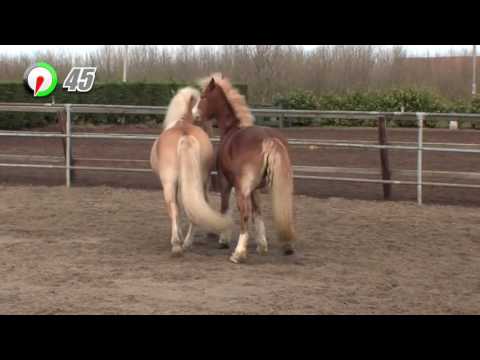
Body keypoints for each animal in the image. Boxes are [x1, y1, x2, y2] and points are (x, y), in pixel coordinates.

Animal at [150, 86, 232, 256]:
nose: (211, 131)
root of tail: (185, 134)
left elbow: (176, 208)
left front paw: (178, 237)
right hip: (200, 181)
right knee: (195, 208)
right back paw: (188, 242)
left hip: (168, 183)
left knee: (173, 207)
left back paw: (177, 244)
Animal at [192, 74, 296, 264]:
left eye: (203, 96)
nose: (194, 115)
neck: (231, 130)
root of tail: (269, 139)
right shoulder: (255, 189)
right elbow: (258, 211)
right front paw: (262, 245)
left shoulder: (226, 183)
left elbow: (226, 208)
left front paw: (223, 239)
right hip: (278, 185)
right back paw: (287, 246)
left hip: (242, 189)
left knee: (244, 214)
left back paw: (239, 253)